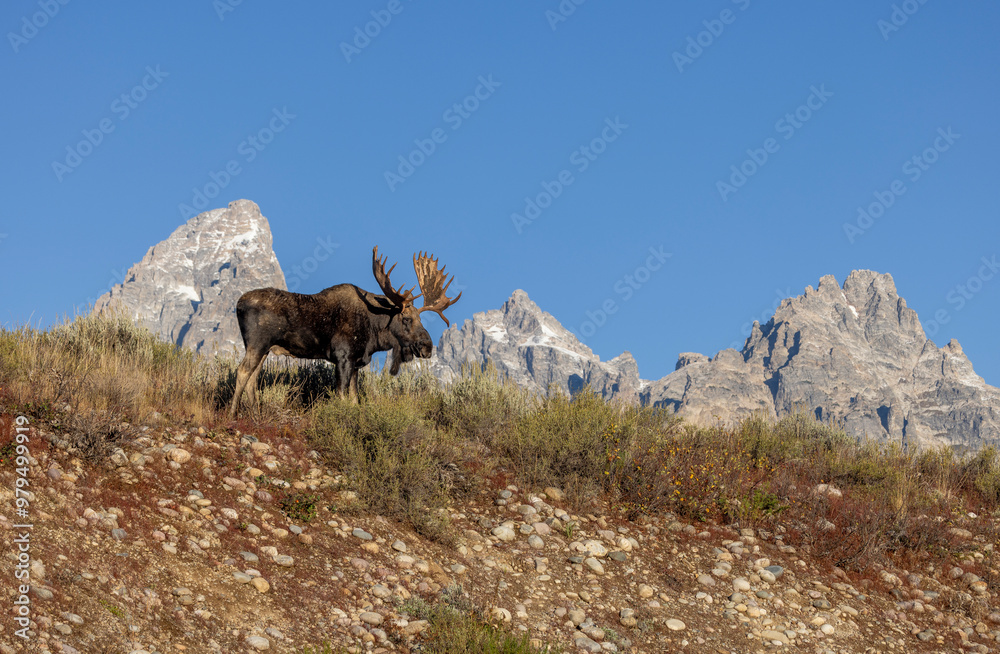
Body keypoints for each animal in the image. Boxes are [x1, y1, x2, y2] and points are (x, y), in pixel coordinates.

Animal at [228, 246, 461, 417]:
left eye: (421, 319)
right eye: (406, 318)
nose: (427, 347)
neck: (374, 333)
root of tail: (238, 304)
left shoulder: (356, 363)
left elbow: (354, 399)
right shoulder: (342, 357)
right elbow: (341, 396)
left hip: (265, 348)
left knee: (253, 379)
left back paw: (256, 415)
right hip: (257, 343)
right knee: (242, 372)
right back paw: (232, 414)